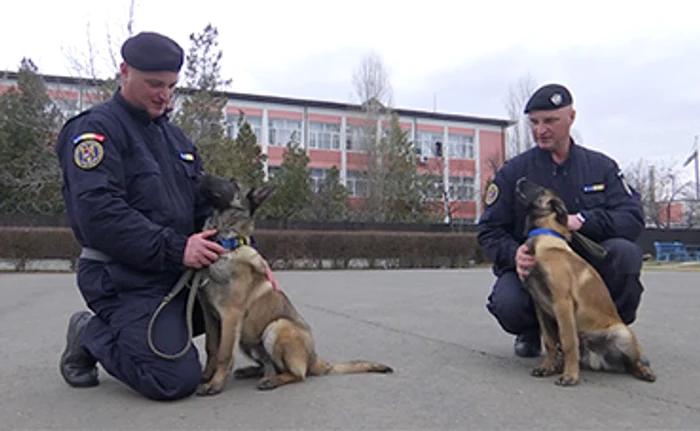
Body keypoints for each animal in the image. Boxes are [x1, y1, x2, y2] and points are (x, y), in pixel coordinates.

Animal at [194, 174, 394, 396]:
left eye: (233, 183)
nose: (201, 175)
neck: (226, 244)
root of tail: (315, 359)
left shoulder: (230, 315)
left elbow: (224, 353)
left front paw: (216, 383)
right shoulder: (210, 315)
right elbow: (212, 347)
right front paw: (206, 376)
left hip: (277, 326)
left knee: (297, 374)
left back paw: (272, 380)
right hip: (249, 340)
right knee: (270, 365)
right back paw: (255, 371)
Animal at [516, 177, 656, 386]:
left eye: (540, 189)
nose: (521, 179)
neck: (544, 237)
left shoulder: (562, 302)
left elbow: (568, 342)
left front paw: (570, 376)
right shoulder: (539, 306)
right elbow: (549, 342)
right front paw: (547, 367)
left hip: (622, 333)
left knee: (633, 363)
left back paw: (644, 371)